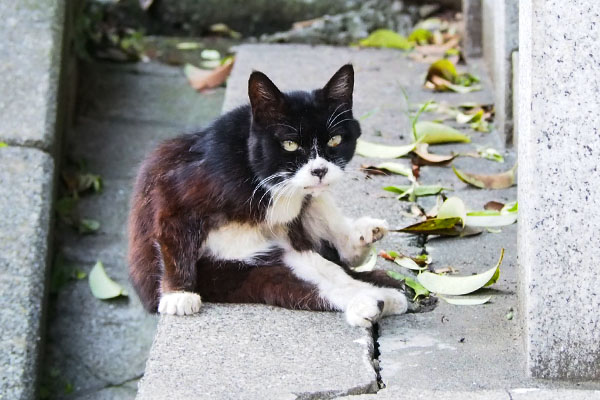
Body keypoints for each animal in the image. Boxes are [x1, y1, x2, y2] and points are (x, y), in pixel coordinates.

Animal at [126, 64, 408, 326]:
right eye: (290, 144)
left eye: (335, 140)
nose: (319, 170)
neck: (256, 175)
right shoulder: (178, 189)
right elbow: (172, 230)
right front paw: (178, 295)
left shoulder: (294, 223)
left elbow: (327, 265)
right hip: (230, 271)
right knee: (295, 282)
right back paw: (370, 300)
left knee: (330, 259)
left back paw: (369, 255)